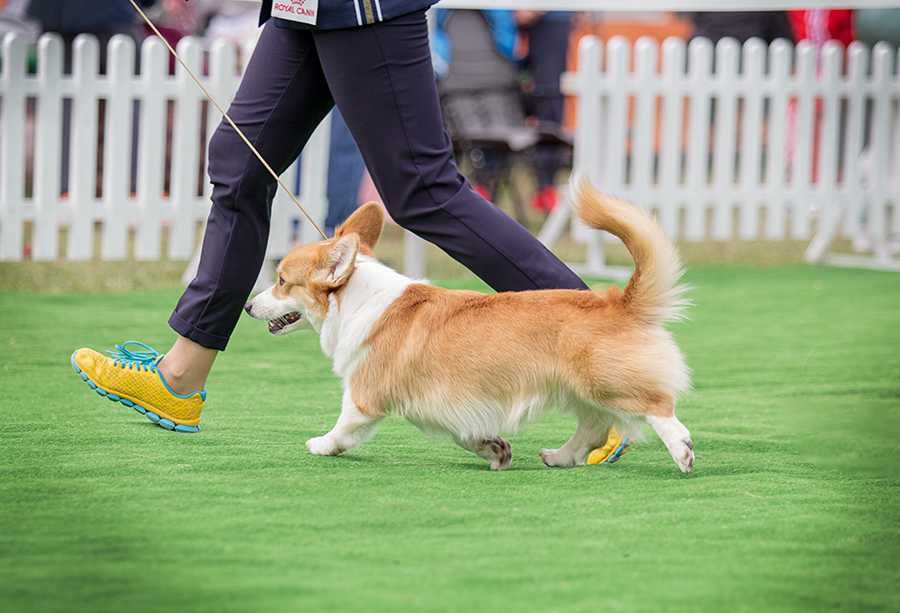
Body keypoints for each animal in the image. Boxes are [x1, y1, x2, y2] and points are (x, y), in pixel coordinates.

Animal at [246, 179, 696, 470]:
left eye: (282, 281)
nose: (249, 306)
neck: (356, 297)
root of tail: (620, 301)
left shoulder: (364, 395)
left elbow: (345, 426)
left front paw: (322, 444)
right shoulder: (449, 408)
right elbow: (468, 435)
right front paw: (495, 450)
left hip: (606, 382)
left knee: (656, 408)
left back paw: (681, 450)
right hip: (578, 390)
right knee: (596, 426)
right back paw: (560, 456)